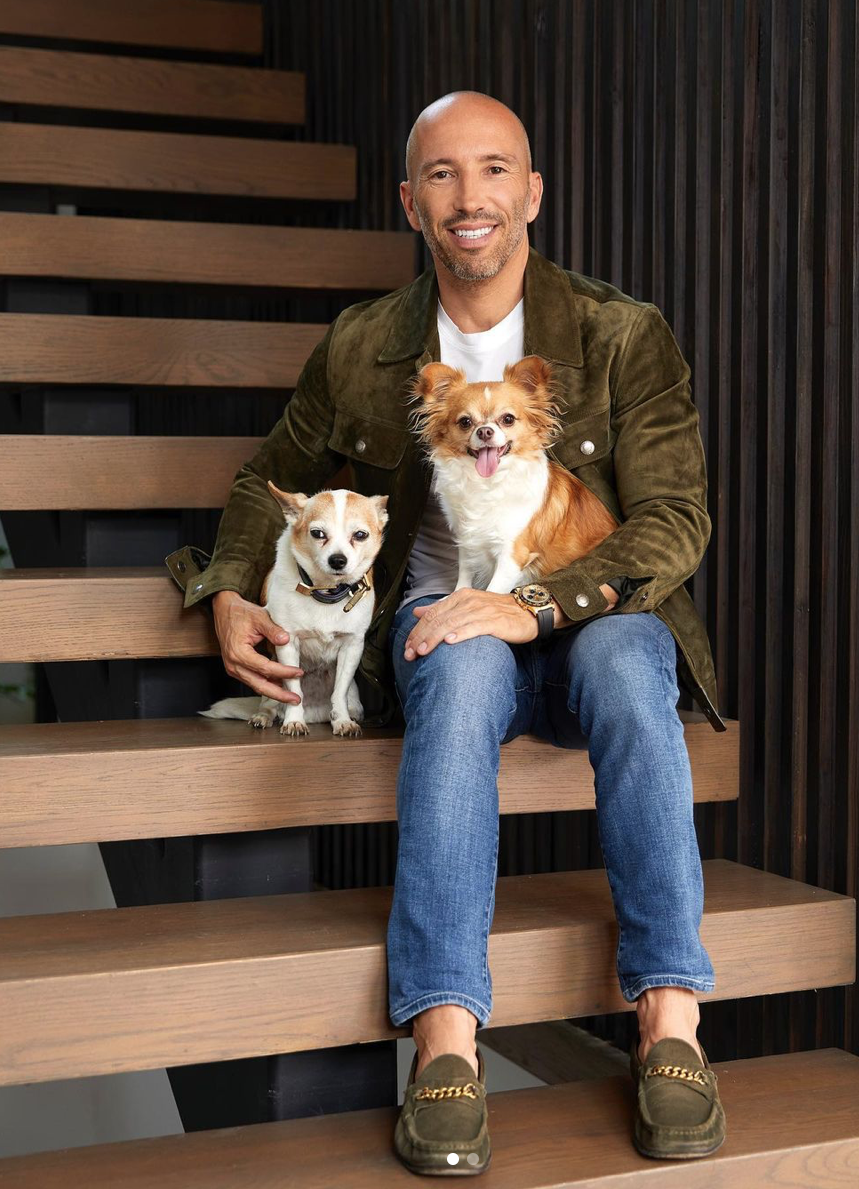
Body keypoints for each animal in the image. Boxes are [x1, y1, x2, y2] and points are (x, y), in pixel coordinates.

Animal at [201, 484, 388, 737]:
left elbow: (339, 690)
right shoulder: (287, 645)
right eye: (317, 533)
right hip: (271, 683)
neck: (325, 593)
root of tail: (316, 714)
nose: (337, 560)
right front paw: (294, 721)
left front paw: (342, 721)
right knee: (269, 705)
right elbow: (294, 692)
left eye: (360, 535)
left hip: (355, 701)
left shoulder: (352, 647)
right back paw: (263, 717)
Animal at [408, 355, 618, 592]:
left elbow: (491, 591)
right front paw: (456, 594)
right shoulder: (468, 541)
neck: (487, 483)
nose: (484, 431)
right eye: (465, 422)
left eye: (507, 419)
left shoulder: (512, 556)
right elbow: (465, 575)